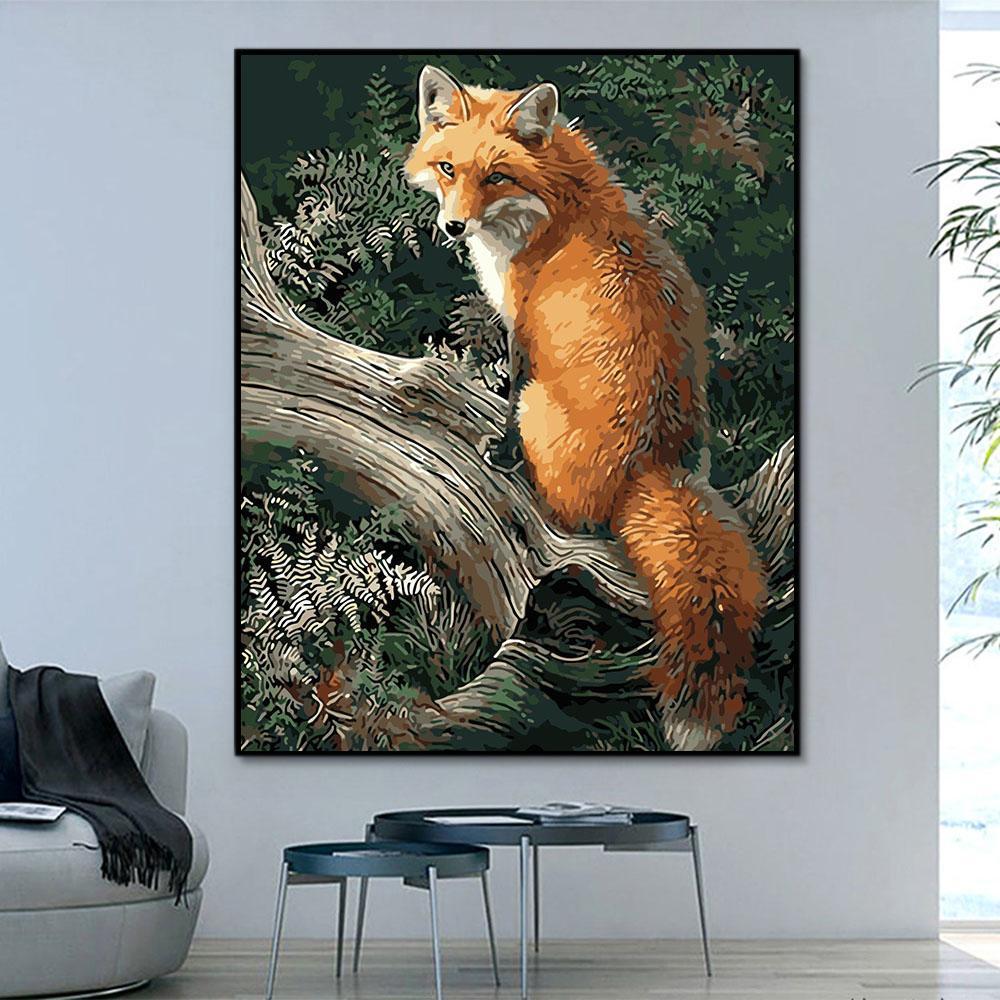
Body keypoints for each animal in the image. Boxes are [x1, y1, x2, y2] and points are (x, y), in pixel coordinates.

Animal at [405, 66, 767, 748]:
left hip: (543, 411)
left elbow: (509, 390)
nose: (452, 228)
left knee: (565, 510)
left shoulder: (522, 326)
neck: (559, 207)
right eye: (448, 169)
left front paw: (500, 449)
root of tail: (653, 466)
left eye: (496, 176)